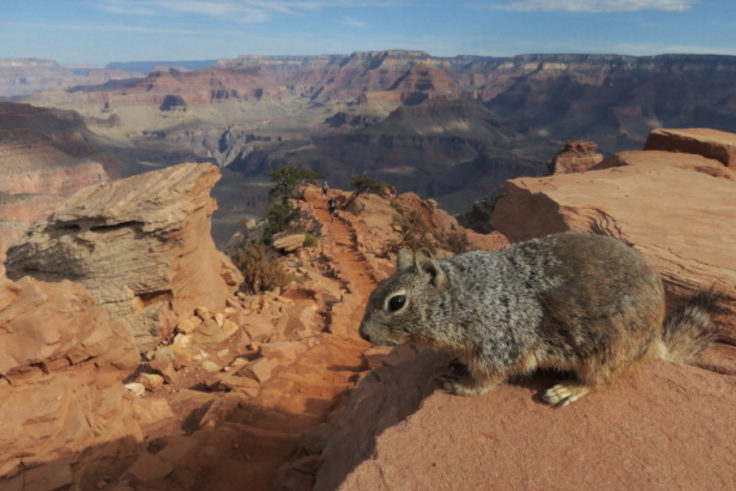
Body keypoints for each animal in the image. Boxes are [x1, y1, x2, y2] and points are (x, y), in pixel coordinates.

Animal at [360, 234, 720, 408]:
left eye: (397, 302)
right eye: (374, 291)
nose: (362, 334)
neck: (465, 297)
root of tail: (656, 340)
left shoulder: (499, 343)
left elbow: (488, 379)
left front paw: (460, 384)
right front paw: (457, 364)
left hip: (610, 351)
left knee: (600, 379)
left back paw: (566, 390)